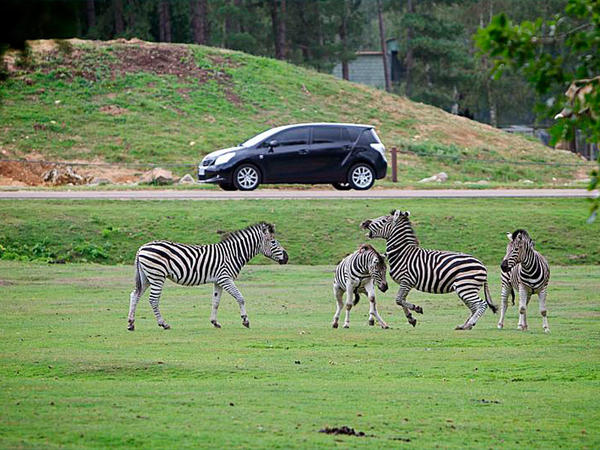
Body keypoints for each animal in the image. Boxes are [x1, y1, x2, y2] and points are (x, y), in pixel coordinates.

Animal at [127, 222, 290, 330]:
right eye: (273, 241)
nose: (287, 258)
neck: (233, 253)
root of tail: (141, 248)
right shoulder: (225, 278)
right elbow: (240, 298)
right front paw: (245, 320)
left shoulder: (218, 281)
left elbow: (215, 302)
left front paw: (215, 322)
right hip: (157, 276)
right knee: (153, 299)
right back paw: (163, 323)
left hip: (146, 277)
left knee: (135, 295)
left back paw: (131, 323)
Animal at [360, 209, 496, 328]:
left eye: (383, 220)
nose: (364, 223)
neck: (402, 253)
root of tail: (482, 265)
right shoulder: (405, 283)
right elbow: (401, 300)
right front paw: (411, 318)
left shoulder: (407, 281)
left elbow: (399, 300)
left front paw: (417, 309)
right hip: (465, 288)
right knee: (474, 307)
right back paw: (465, 325)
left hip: (466, 286)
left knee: (482, 304)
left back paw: (468, 325)